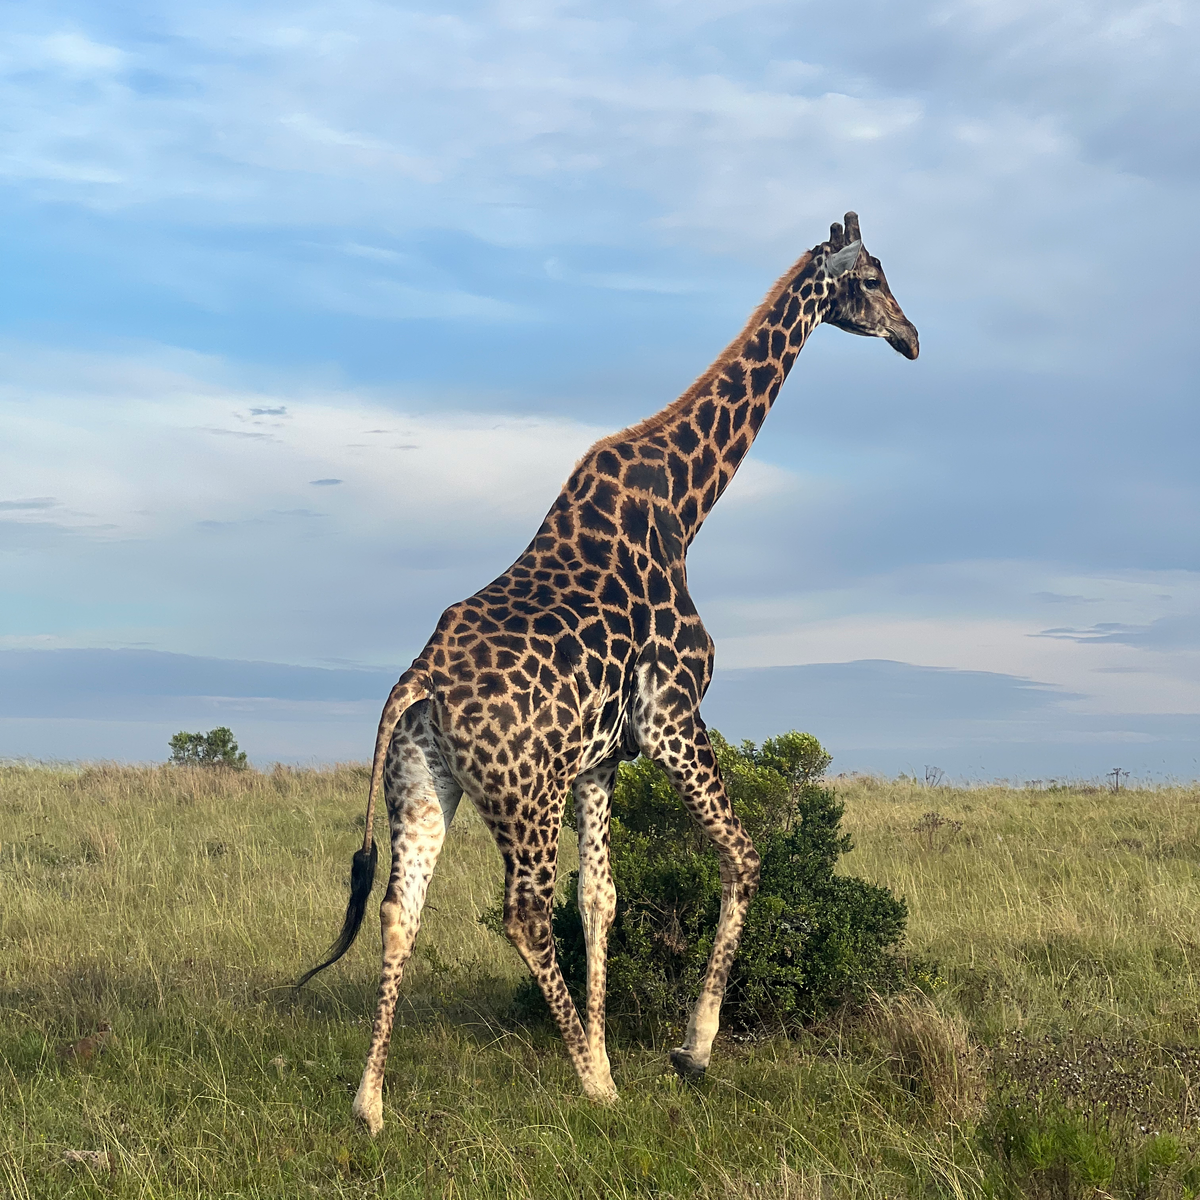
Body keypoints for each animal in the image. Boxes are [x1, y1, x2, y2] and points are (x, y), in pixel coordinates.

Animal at [298, 212, 918, 1133]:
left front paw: (616, 1048)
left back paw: (370, 1103)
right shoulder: (672, 715)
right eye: (873, 278)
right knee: (523, 914)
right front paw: (685, 1051)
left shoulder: (601, 760)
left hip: (426, 782)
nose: (912, 338)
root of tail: (420, 684)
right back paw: (592, 1083)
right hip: (525, 793)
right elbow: (742, 857)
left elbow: (601, 902)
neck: (687, 506)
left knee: (401, 909)